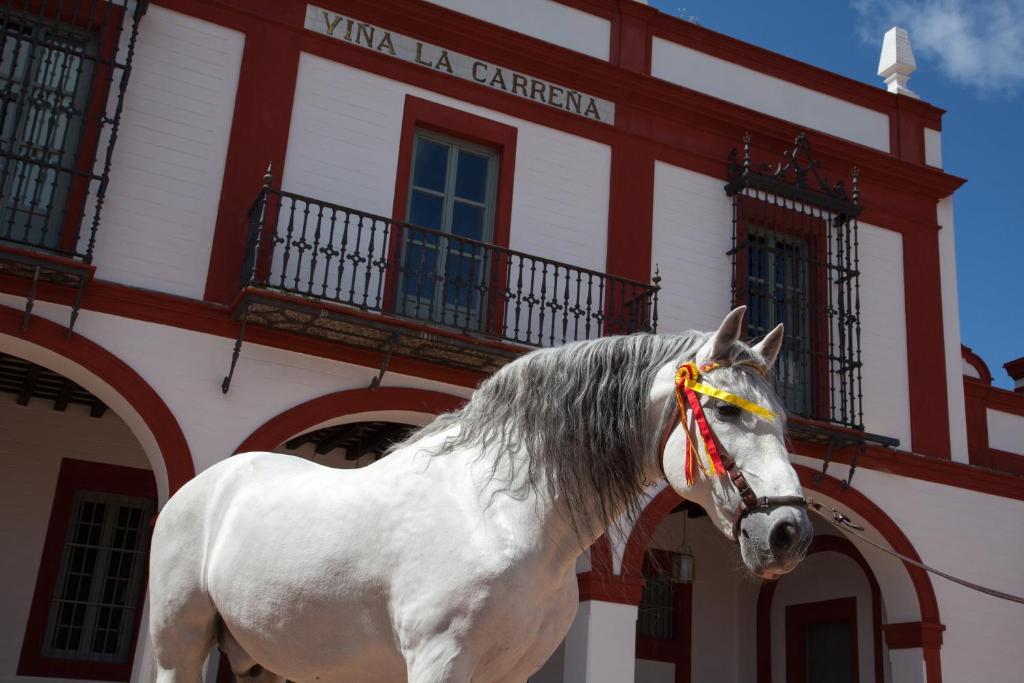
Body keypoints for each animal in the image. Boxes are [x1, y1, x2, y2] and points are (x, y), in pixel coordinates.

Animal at [148, 309, 811, 683]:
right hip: (178, 648)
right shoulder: (437, 663)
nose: (790, 533)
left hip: (267, 658)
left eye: (783, 421)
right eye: (725, 410)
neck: (503, 519)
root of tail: (203, 486)